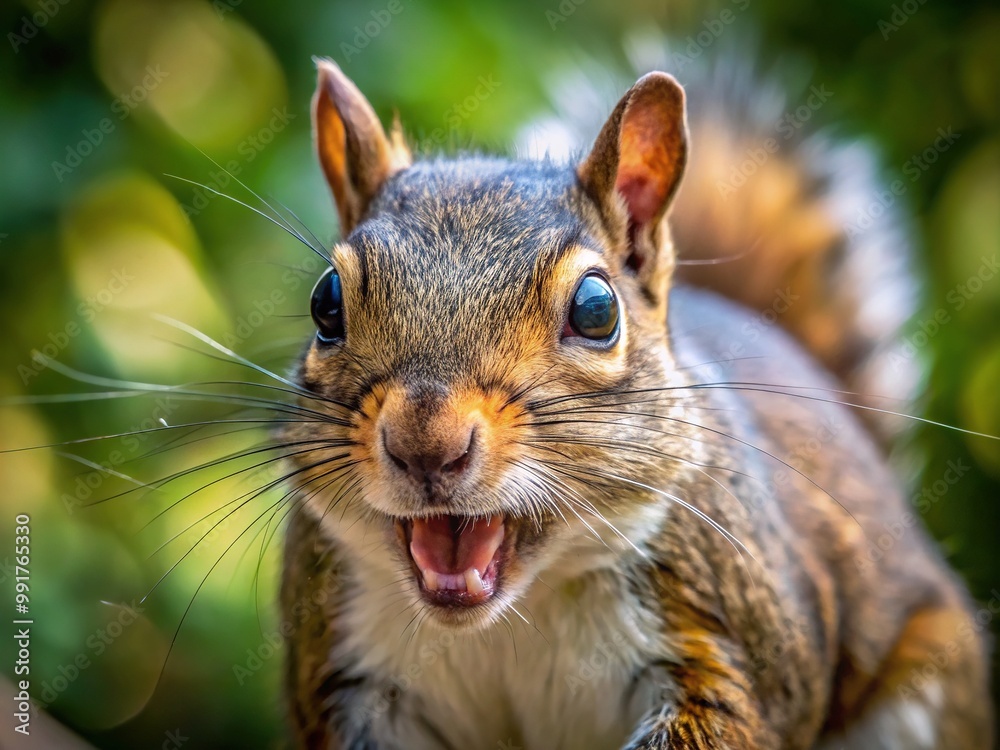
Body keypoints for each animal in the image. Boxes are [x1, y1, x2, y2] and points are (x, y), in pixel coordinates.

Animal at [277, 58, 993, 749]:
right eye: (326, 303)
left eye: (597, 310)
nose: (426, 445)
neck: (517, 612)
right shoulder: (345, 670)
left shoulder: (733, 645)